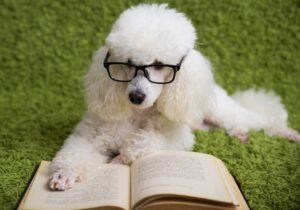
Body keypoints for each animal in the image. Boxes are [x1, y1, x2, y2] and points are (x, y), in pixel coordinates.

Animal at [48, 3, 298, 190]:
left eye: (159, 65)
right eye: (128, 64)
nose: (136, 97)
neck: (138, 114)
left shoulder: (177, 138)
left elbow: (147, 141)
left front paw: (121, 158)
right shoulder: (90, 135)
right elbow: (75, 152)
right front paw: (65, 173)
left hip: (221, 111)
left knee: (260, 119)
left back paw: (287, 133)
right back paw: (240, 134)